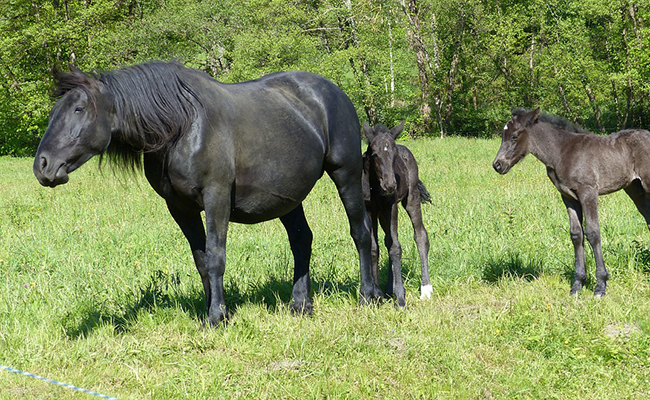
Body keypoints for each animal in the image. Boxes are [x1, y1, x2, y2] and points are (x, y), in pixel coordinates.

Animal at [33, 61, 382, 324]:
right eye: (54, 113)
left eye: (79, 108)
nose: (43, 166)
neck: (182, 127)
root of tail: (335, 92)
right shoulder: (180, 208)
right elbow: (201, 260)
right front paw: (209, 310)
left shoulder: (216, 199)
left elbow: (215, 256)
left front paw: (217, 316)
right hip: (287, 197)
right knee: (301, 241)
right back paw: (300, 304)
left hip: (346, 175)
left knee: (361, 233)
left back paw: (368, 295)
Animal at [360, 122, 430, 306]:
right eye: (374, 154)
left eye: (394, 155)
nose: (391, 185)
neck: (375, 187)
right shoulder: (370, 210)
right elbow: (374, 248)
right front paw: (377, 294)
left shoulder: (390, 207)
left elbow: (395, 247)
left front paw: (400, 297)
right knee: (387, 240)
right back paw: (389, 287)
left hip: (411, 198)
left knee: (420, 235)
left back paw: (426, 288)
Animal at [492, 108, 648, 296]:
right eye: (503, 135)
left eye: (514, 136)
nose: (497, 165)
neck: (561, 152)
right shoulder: (568, 197)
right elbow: (576, 235)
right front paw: (578, 284)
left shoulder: (588, 193)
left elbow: (593, 233)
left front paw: (600, 285)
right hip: (635, 190)